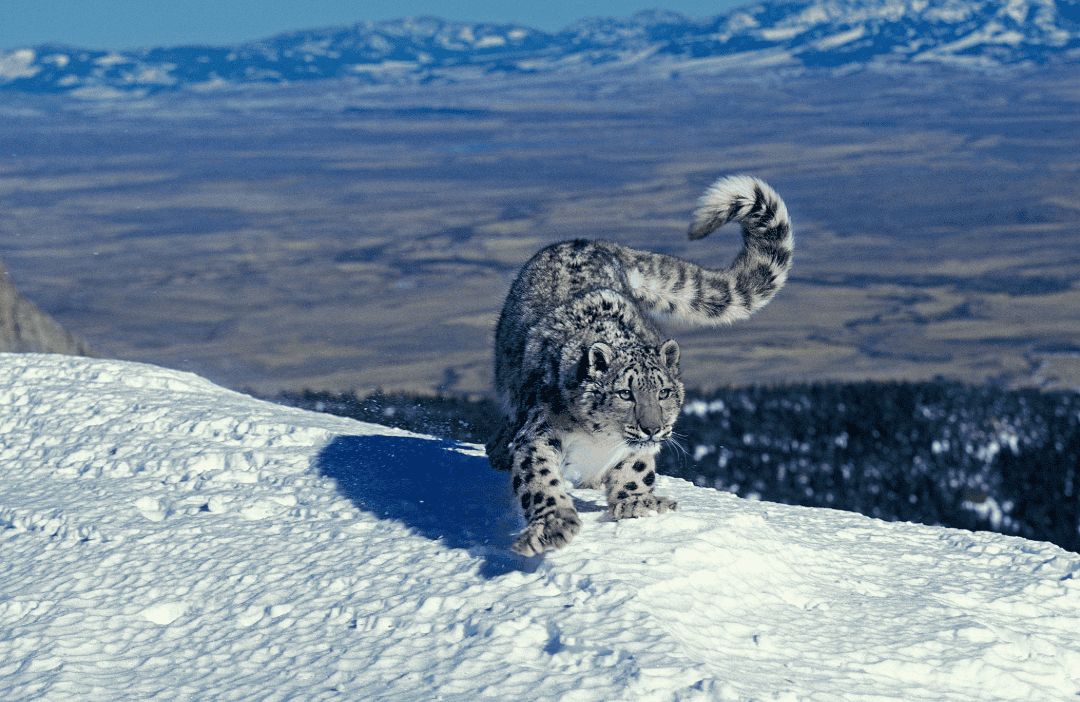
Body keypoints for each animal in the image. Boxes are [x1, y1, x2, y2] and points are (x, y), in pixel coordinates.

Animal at [488, 173, 794, 552]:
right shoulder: (540, 431)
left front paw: (637, 503)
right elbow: (540, 477)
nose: (652, 428)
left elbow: (635, 468)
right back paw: (499, 448)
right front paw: (552, 525)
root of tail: (593, 242)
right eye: (624, 393)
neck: (599, 441)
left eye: (663, 392)